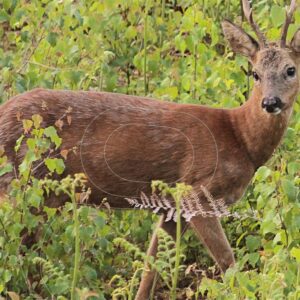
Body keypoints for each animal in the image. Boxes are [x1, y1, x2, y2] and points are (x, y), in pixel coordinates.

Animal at [0, 0, 298, 298]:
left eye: (290, 69)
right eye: (255, 73)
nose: (270, 102)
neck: (240, 139)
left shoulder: (171, 206)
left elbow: (152, 268)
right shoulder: (196, 191)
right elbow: (228, 262)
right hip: (21, 182)